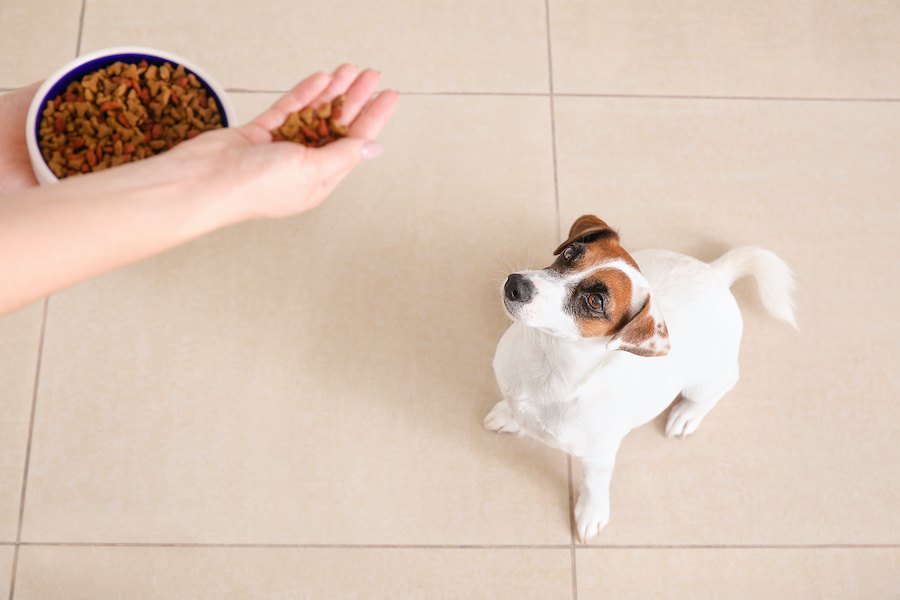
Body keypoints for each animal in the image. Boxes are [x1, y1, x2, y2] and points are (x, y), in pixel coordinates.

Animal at [486, 217, 796, 544]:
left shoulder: (598, 456)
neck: (548, 364)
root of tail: (717, 274)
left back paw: (688, 414)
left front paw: (591, 513)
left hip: (707, 379)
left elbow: (595, 484)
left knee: (723, 384)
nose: (515, 284)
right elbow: (513, 408)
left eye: (595, 301)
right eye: (570, 253)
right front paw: (509, 416)